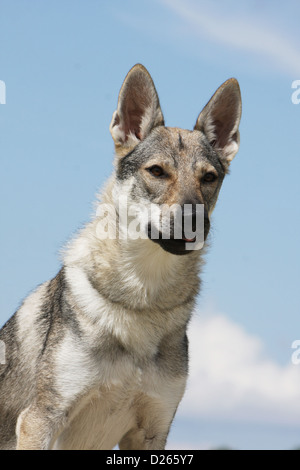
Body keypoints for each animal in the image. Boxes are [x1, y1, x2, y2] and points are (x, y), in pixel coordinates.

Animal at [0, 64, 240, 450]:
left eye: (209, 178)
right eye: (157, 172)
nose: (195, 219)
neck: (142, 300)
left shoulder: (153, 429)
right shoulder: (40, 420)